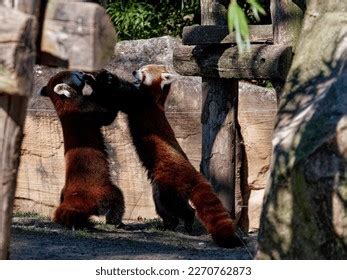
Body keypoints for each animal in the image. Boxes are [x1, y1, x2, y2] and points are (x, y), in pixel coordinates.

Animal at [39, 71, 125, 229]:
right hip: (102, 191)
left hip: (65, 193)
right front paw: (104, 82)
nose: (83, 73)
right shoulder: (85, 109)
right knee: (117, 200)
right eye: (75, 74)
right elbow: (107, 115)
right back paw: (116, 222)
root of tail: (73, 197)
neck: (64, 102)